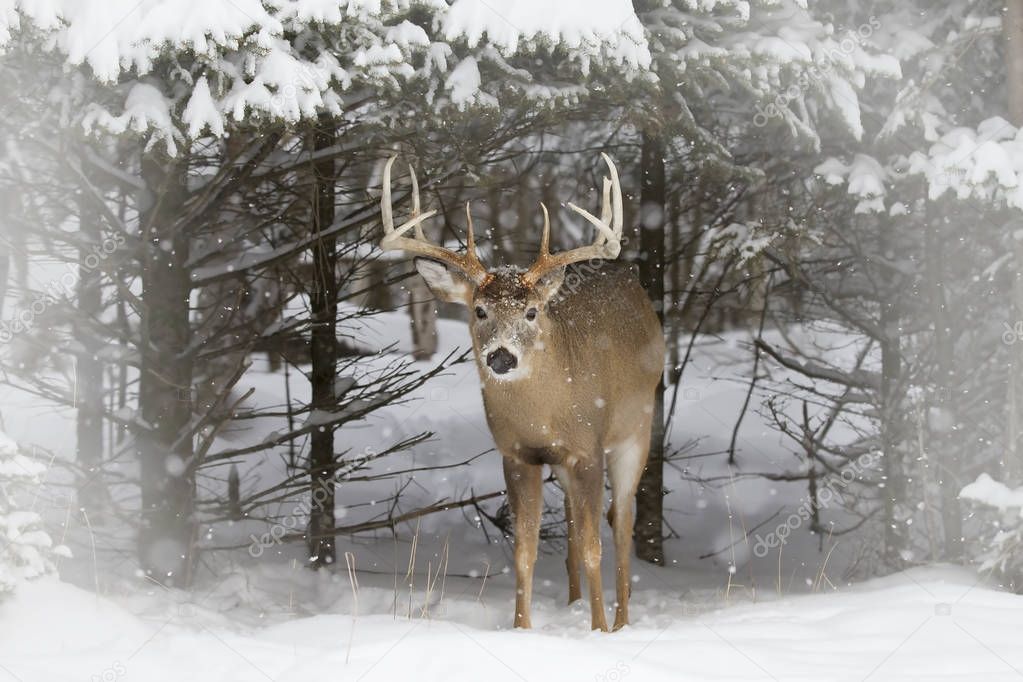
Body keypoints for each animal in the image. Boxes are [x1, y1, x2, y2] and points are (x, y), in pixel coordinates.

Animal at [380, 156, 666, 633]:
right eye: (480, 310)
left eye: (531, 312)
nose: (500, 357)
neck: (545, 412)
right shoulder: (518, 454)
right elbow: (524, 550)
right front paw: (522, 629)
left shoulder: (588, 448)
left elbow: (595, 546)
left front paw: (599, 630)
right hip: (566, 464)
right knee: (573, 521)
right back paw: (573, 603)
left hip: (636, 432)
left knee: (621, 521)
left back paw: (622, 620)